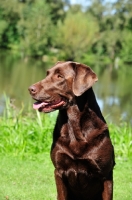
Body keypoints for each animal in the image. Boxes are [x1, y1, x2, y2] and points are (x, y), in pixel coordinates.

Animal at [28, 61, 114, 200]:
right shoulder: (59, 172)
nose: (30, 89)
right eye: (47, 74)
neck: (73, 124)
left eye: (59, 76)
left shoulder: (106, 175)